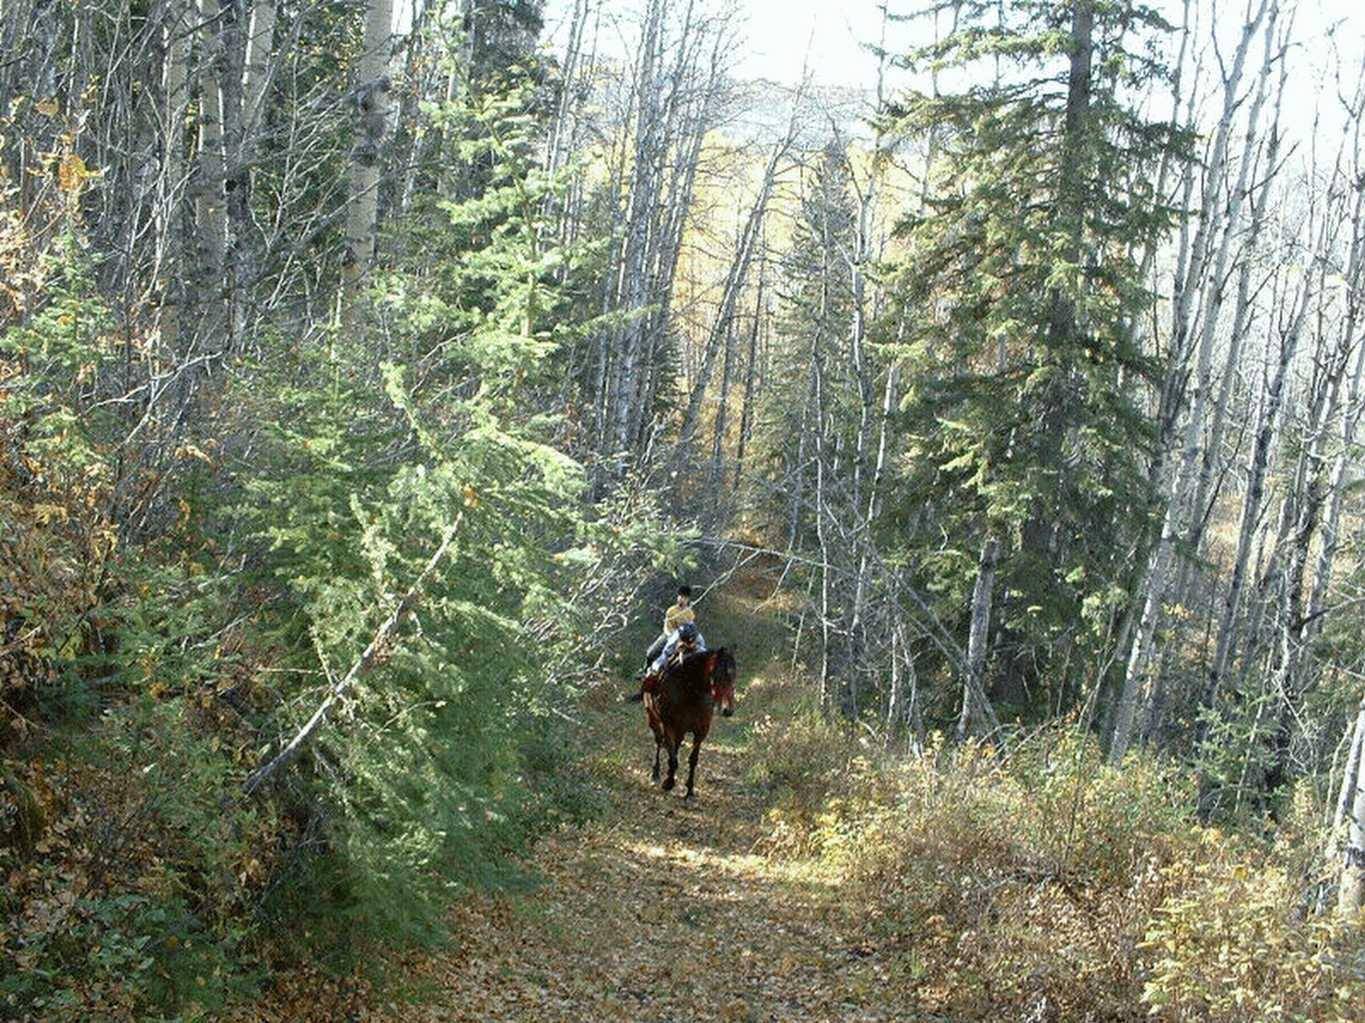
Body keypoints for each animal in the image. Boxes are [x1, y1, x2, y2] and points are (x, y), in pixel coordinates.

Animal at [641, 647, 737, 797]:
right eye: (719, 675)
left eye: (734, 675)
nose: (728, 710)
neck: (690, 692)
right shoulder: (670, 726)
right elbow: (673, 757)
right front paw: (669, 783)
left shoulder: (701, 732)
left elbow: (692, 760)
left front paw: (690, 790)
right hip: (654, 719)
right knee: (659, 741)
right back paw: (655, 773)